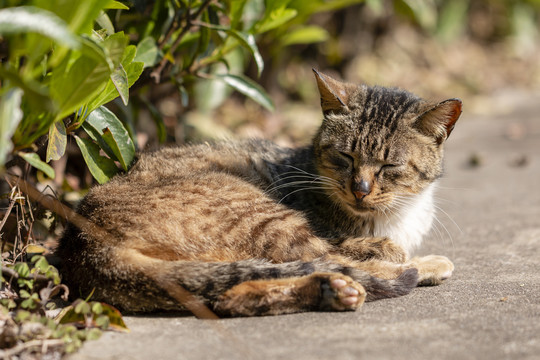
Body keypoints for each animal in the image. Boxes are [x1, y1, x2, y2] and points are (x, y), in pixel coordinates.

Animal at [58, 71, 464, 318]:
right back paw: (411, 268)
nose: (360, 190)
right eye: (345, 157)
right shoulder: (338, 235)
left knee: (229, 296)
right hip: (262, 216)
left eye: (389, 166)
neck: (398, 212)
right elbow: (370, 250)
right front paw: (409, 257)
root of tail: (82, 243)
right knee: (329, 259)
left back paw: (329, 290)